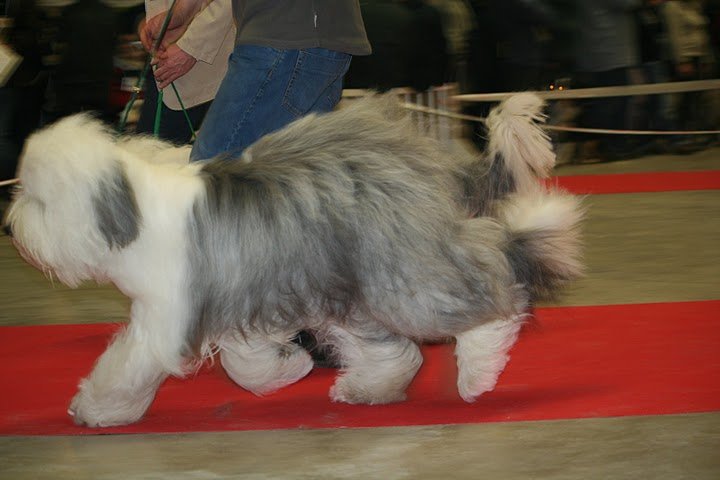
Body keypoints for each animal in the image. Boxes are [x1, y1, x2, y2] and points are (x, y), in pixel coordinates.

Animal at [4, 93, 583, 427]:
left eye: (37, 198)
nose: (9, 229)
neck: (133, 214)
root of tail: (426, 157)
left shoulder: (169, 315)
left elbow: (128, 364)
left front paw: (95, 410)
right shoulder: (247, 293)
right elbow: (245, 362)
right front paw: (289, 369)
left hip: (400, 273)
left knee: (492, 287)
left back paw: (479, 369)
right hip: (344, 279)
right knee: (395, 352)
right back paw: (367, 388)